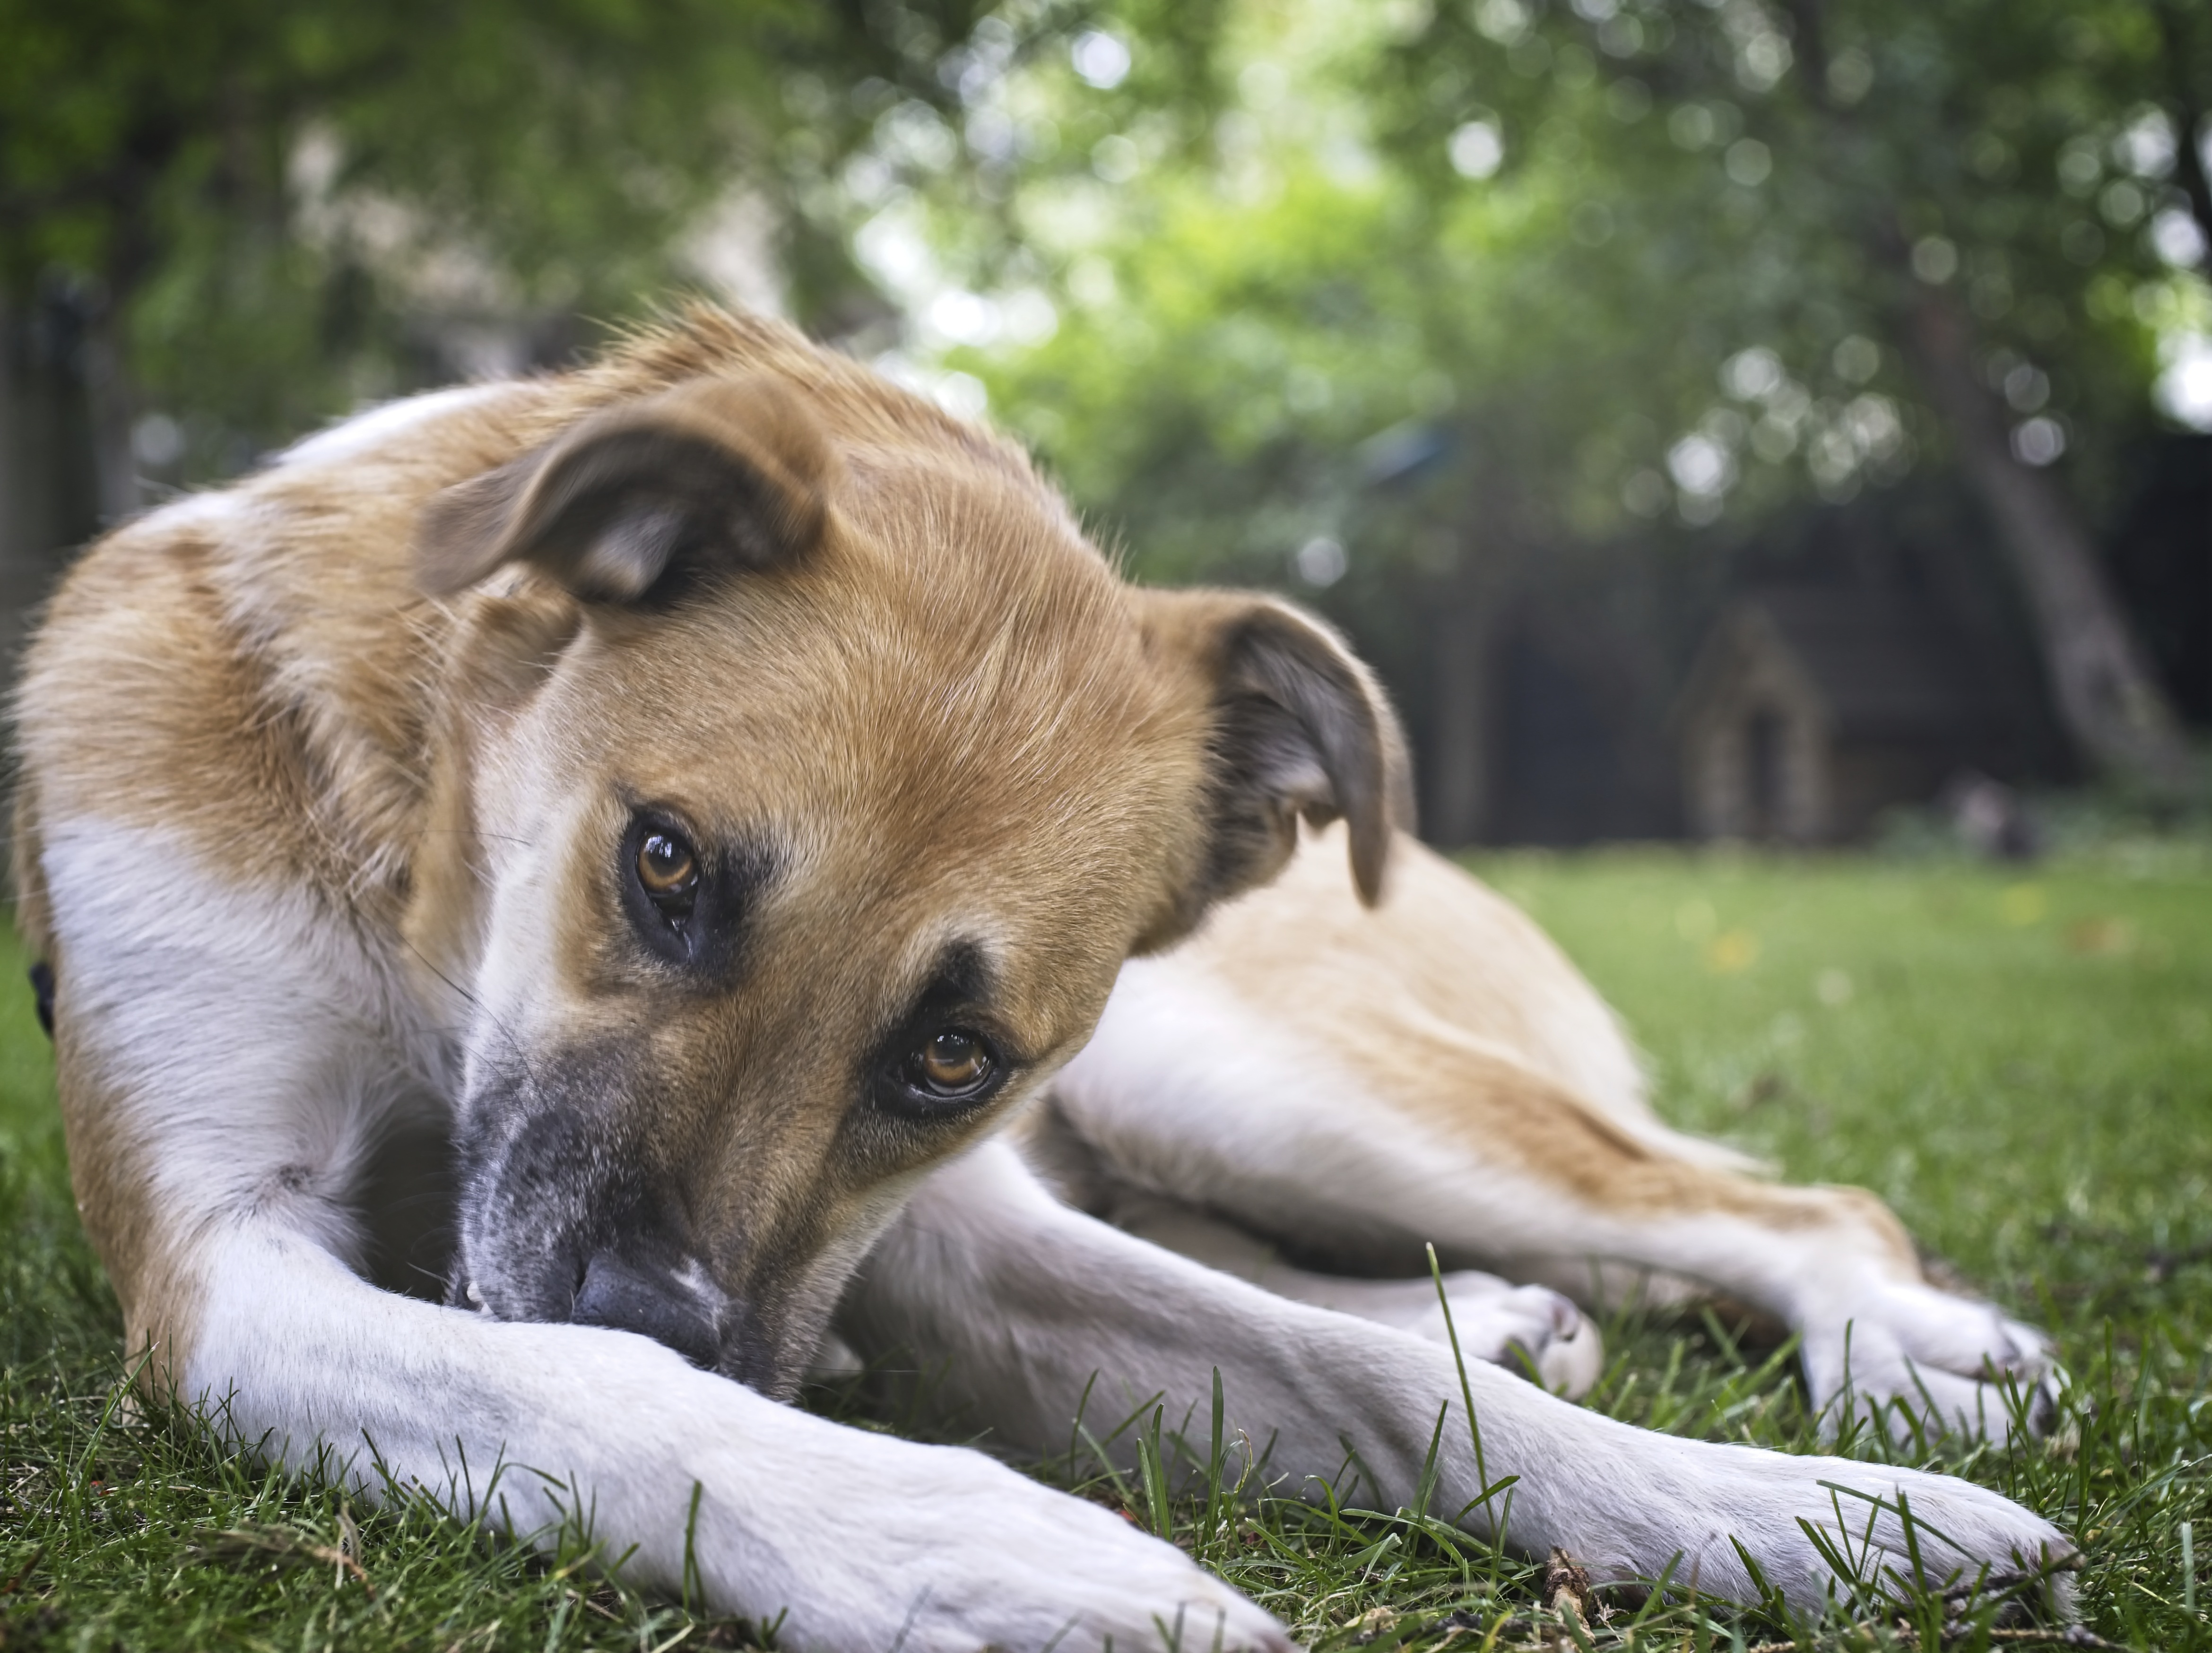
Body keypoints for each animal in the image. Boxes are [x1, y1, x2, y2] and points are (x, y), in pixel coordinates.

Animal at [9, 307, 2061, 1646]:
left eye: (950, 1052)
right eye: (661, 865)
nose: (672, 1312)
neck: (409, 876)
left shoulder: (935, 1228)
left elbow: (1364, 1384)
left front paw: (1785, 1513)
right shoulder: (223, 1260)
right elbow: (580, 1392)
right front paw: (974, 1545)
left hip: (1239, 1078)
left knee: (1769, 1200)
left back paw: (1895, 1358)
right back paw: (1501, 1306)